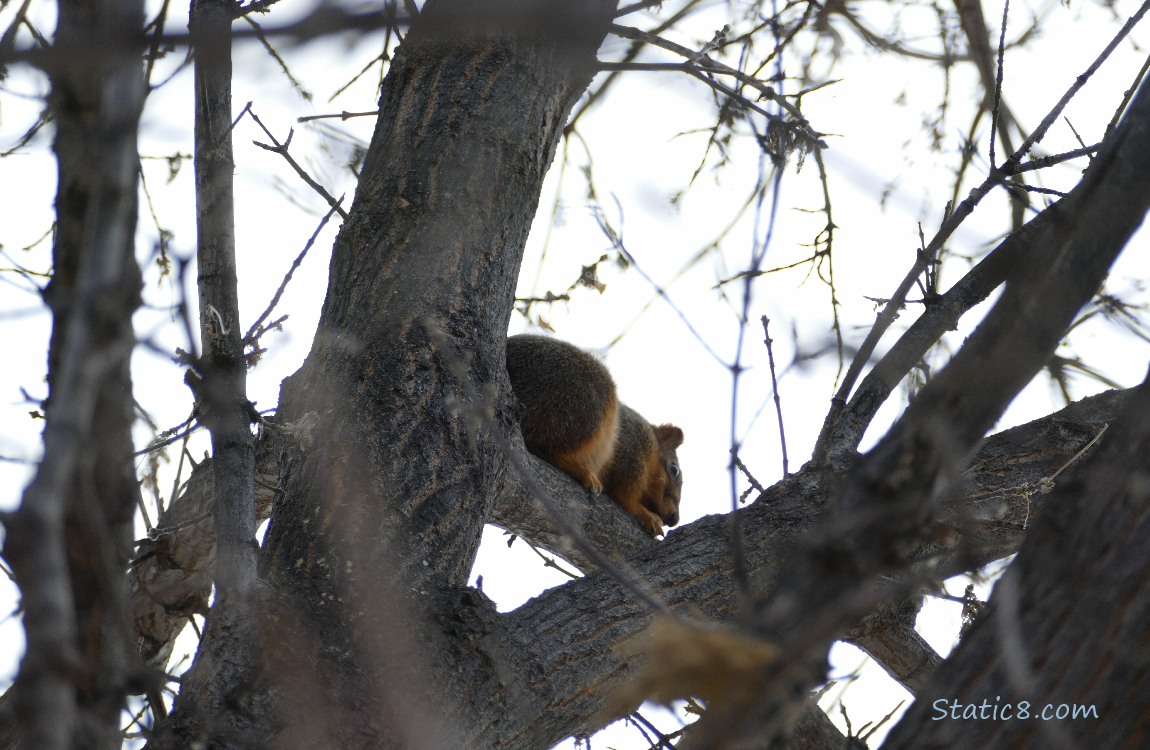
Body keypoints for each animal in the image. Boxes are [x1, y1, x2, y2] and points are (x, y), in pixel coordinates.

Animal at [505, 333, 685, 535]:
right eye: (674, 469)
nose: (674, 519)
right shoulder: (632, 452)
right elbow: (624, 496)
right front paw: (645, 515)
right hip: (578, 404)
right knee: (542, 444)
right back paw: (581, 471)